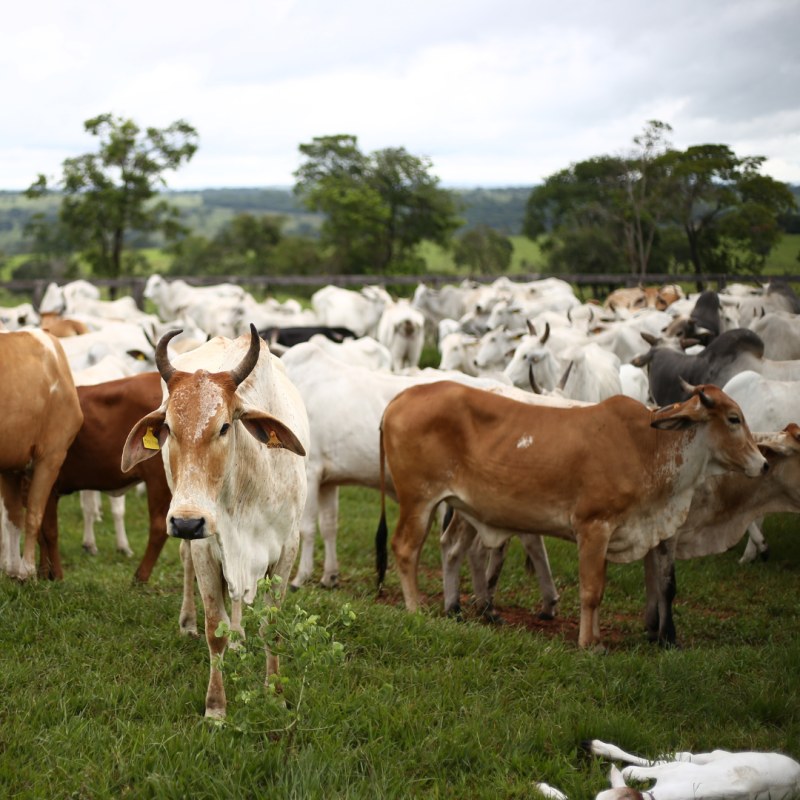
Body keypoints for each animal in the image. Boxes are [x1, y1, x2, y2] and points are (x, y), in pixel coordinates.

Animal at [0, 328, 83, 580]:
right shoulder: (40, 460)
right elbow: (24, 518)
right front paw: (20, 570)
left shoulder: (43, 456)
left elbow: (26, 517)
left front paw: (21, 571)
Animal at [35, 372, 172, 584]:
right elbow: (39, 531)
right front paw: (42, 573)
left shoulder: (48, 486)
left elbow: (49, 531)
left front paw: (55, 575)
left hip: (159, 480)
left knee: (159, 526)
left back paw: (140, 576)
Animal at [120, 324, 308, 720]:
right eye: (168, 427)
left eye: (224, 427)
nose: (187, 523)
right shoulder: (206, 547)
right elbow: (214, 630)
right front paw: (216, 709)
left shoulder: (287, 548)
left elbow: (272, 627)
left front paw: (275, 695)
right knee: (187, 565)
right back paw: (188, 622)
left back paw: (239, 638)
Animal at [378, 380, 764, 648]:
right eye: (733, 418)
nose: (762, 463)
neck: (648, 447)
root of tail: (401, 397)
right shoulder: (594, 526)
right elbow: (591, 590)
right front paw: (588, 644)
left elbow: (607, 589)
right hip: (418, 500)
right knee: (405, 548)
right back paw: (415, 610)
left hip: (454, 505)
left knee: (447, 548)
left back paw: (453, 609)